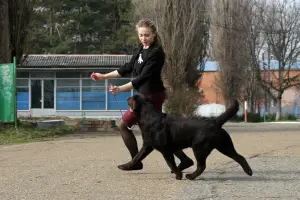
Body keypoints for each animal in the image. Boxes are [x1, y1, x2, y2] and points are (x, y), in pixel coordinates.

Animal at [119, 94, 253, 180]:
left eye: (131, 98)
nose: (126, 97)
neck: (148, 116)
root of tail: (215, 121)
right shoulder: (147, 145)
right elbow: (137, 157)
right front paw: (126, 166)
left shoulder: (166, 150)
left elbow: (171, 163)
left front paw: (178, 175)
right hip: (224, 146)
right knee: (239, 157)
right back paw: (249, 172)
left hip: (199, 147)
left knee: (201, 166)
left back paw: (191, 176)